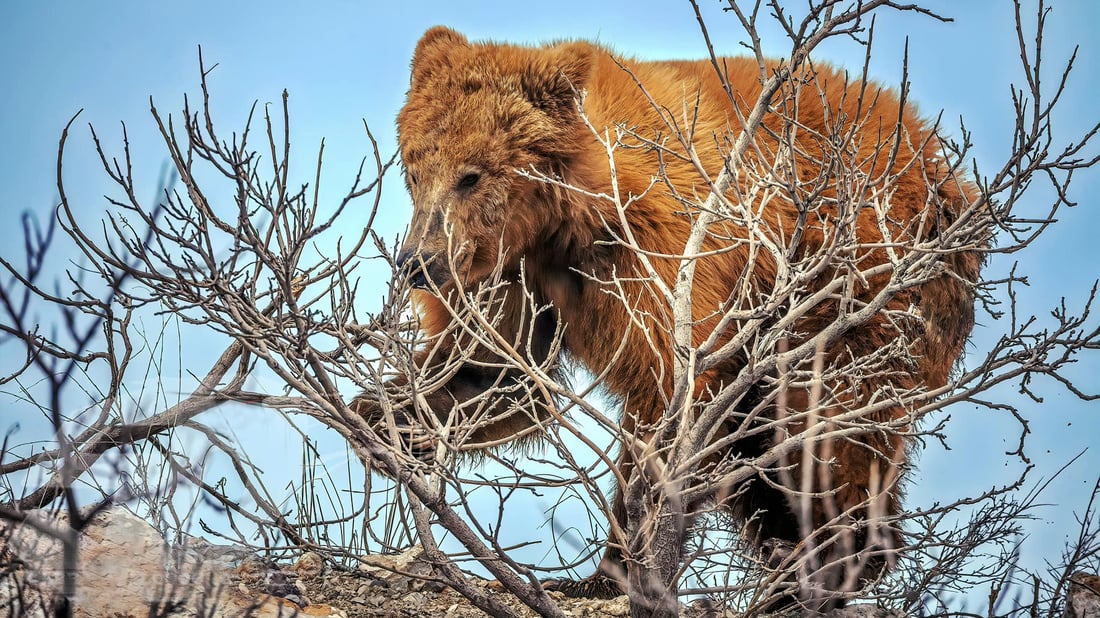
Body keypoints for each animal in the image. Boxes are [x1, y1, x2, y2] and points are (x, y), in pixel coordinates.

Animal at [356, 25, 985, 607]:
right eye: (414, 168)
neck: (568, 217)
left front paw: (622, 565)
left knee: (830, 423)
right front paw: (386, 418)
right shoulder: (513, 274)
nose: (417, 262)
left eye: (472, 174)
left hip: (862, 282)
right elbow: (500, 375)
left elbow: (670, 395)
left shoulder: (666, 254)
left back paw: (825, 567)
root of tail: (943, 165)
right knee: (763, 450)